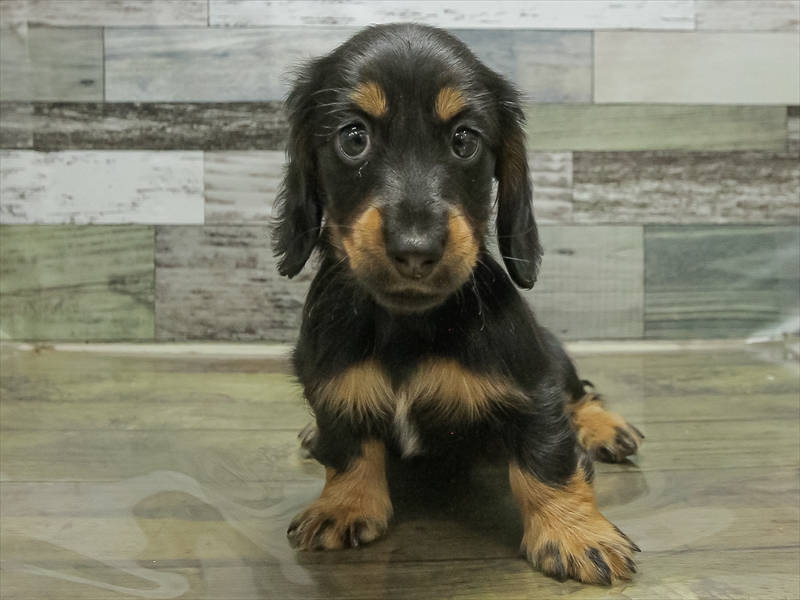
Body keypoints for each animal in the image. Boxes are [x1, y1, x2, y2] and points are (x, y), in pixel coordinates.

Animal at [272, 23, 643, 585]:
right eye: (354, 138)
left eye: (464, 140)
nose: (415, 249)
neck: (409, 324)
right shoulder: (328, 380)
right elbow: (348, 444)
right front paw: (345, 504)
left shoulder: (531, 385)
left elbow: (548, 458)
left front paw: (577, 534)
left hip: (550, 349)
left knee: (577, 393)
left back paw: (604, 425)